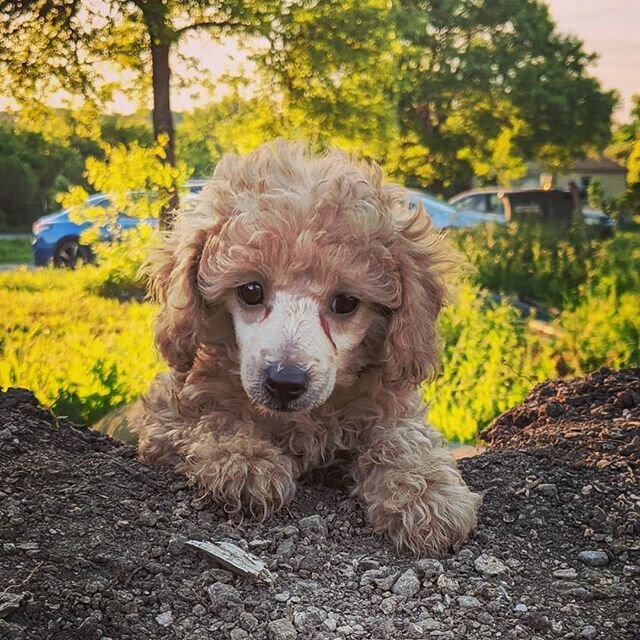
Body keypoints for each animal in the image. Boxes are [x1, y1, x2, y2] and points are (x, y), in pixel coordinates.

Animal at [134, 139, 480, 556]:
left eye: (346, 303)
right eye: (251, 291)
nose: (285, 382)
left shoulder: (389, 400)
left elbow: (403, 434)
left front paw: (427, 492)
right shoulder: (166, 411)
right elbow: (209, 415)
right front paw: (244, 460)